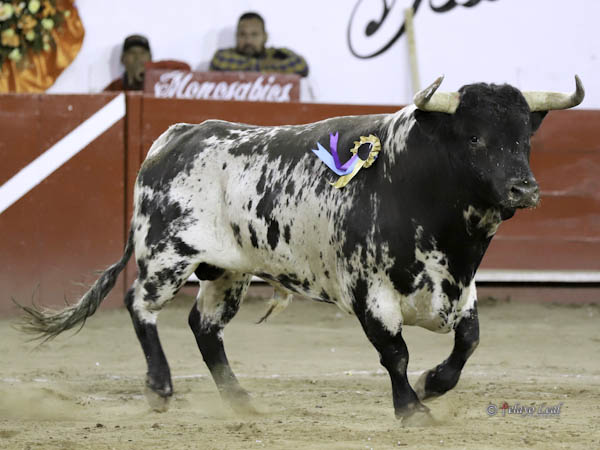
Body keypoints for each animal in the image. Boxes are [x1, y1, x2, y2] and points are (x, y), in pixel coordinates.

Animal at [17, 75, 580, 424]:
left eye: (524, 138)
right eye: (474, 138)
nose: (524, 189)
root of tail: (175, 136)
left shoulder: (461, 289)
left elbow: (469, 342)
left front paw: (431, 383)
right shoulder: (368, 291)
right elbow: (395, 354)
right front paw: (412, 410)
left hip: (227, 272)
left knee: (204, 327)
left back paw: (240, 400)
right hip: (166, 253)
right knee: (140, 304)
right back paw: (159, 386)